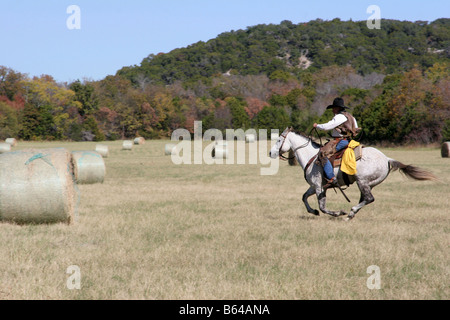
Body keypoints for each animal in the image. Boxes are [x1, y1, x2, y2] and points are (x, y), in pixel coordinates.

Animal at [268, 127, 438, 220]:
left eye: (279, 140)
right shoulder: (314, 186)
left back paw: (350, 213)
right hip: (368, 184)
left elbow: (322, 206)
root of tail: (387, 159)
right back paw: (352, 214)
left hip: (362, 181)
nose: (270, 153)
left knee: (369, 198)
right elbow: (304, 197)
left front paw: (338, 212)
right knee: (366, 199)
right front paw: (313, 211)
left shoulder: (318, 186)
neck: (311, 156)